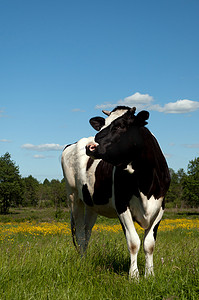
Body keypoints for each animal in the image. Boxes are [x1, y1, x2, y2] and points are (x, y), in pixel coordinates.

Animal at [61, 106, 170, 278]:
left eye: (120, 126)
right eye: (103, 125)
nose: (91, 146)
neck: (145, 180)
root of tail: (74, 143)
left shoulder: (160, 207)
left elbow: (149, 244)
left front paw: (150, 275)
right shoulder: (121, 205)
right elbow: (133, 242)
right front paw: (134, 276)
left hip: (92, 205)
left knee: (86, 231)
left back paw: (85, 259)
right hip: (73, 197)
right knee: (79, 233)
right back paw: (82, 262)